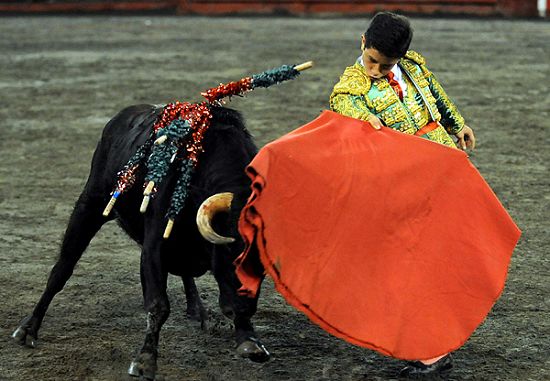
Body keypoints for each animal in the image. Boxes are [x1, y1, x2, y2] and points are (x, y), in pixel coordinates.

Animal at [12, 103, 272, 378]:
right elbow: (158, 304)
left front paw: (250, 340)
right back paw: (28, 329)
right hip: (91, 204)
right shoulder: (154, 246)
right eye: (231, 252)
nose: (243, 310)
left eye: (264, 266)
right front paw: (145, 361)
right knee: (62, 268)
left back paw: (197, 310)